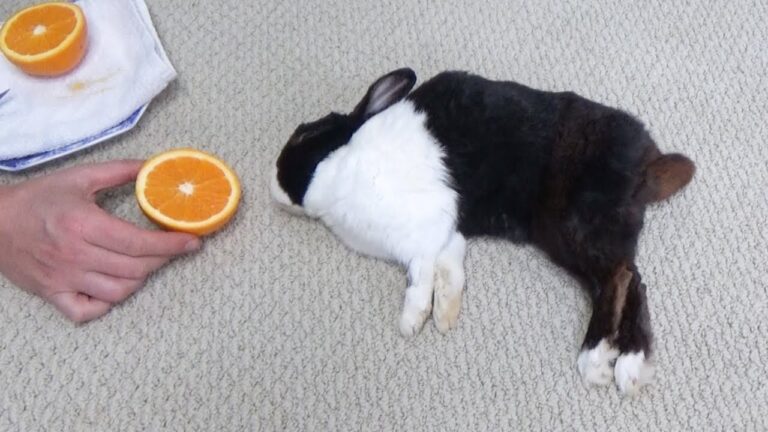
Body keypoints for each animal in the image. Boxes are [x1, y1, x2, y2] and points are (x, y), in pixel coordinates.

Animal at [270, 68, 695, 395]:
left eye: (304, 136)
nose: (272, 188)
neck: (344, 163)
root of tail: (649, 165)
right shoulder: (448, 235)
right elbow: (450, 270)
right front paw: (445, 315)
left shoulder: (423, 234)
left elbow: (420, 278)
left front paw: (412, 322)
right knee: (632, 280)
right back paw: (630, 367)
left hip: (574, 224)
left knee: (618, 278)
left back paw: (596, 357)